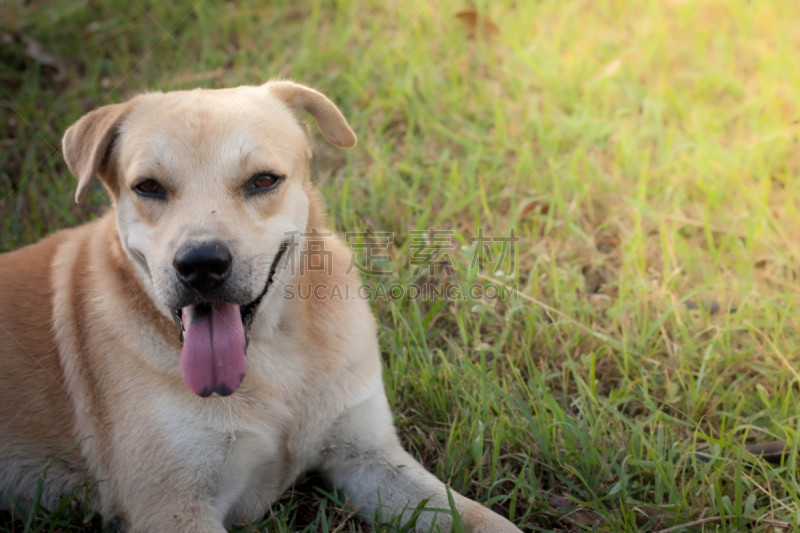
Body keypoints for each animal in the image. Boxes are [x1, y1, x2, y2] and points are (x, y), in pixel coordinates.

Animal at [0, 81, 520, 528]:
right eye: (148, 187)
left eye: (263, 180)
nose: (201, 264)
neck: (274, 353)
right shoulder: (172, 506)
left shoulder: (367, 456)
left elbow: (484, 520)